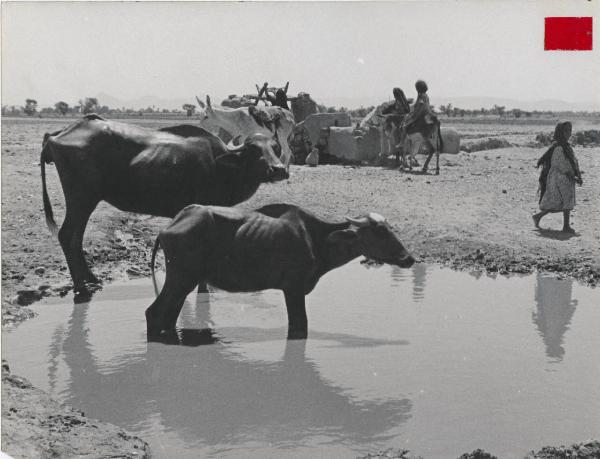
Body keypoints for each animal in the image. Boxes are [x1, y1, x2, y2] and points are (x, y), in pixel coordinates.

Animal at [40, 116, 288, 294]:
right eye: (253, 150)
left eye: (275, 148)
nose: (279, 169)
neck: (220, 166)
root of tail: (59, 134)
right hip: (81, 198)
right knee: (66, 235)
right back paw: (80, 287)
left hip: (85, 201)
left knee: (76, 238)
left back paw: (90, 278)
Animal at [148, 203, 414, 340]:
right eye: (380, 232)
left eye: (389, 229)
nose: (409, 258)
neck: (316, 239)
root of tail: (169, 226)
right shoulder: (293, 289)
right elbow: (300, 325)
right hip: (180, 279)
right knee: (153, 313)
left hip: (185, 283)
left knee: (168, 317)